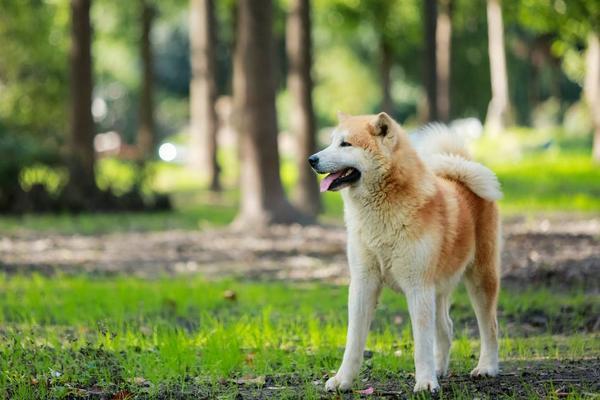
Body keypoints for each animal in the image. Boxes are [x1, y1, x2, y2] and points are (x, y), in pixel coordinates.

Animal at [310, 111, 502, 392]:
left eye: (346, 144)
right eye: (332, 141)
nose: (311, 159)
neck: (381, 214)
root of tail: (461, 171)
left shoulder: (417, 286)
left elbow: (421, 343)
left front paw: (425, 383)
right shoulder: (363, 284)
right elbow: (353, 342)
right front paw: (343, 380)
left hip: (480, 279)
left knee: (490, 327)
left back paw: (486, 367)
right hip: (438, 289)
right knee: (446, 328)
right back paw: (439, 369)